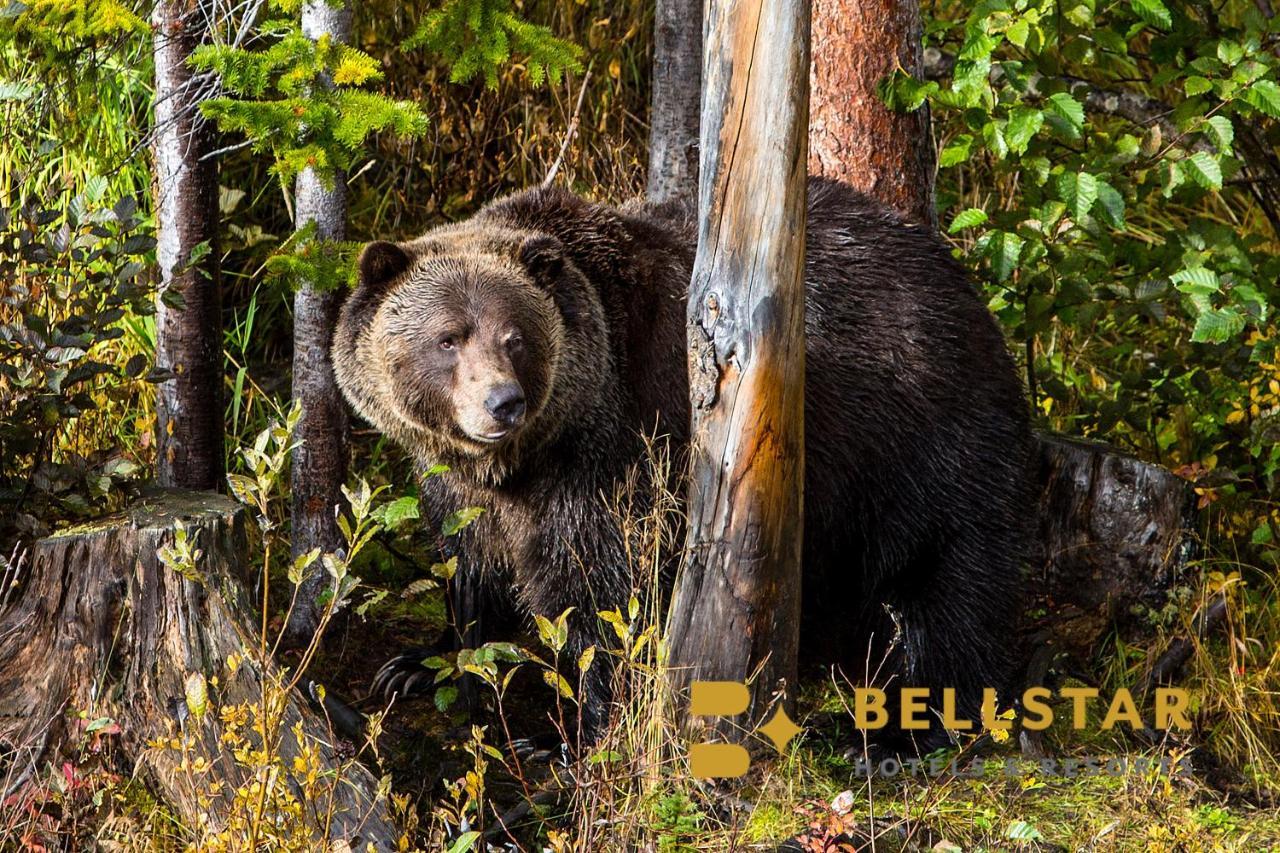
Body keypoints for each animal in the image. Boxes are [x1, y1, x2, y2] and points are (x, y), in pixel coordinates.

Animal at [330, 175, 1029, 747]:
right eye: (448, 338)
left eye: (516, 337)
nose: (503, 403)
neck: (530, 458)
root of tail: (965, 287)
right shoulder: (462, 487)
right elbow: (470, 566)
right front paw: (414, 665)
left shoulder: (622, 448)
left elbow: (605, 592)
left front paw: (566, 733)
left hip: (920, 439)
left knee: (948, 580)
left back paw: (903, 727)